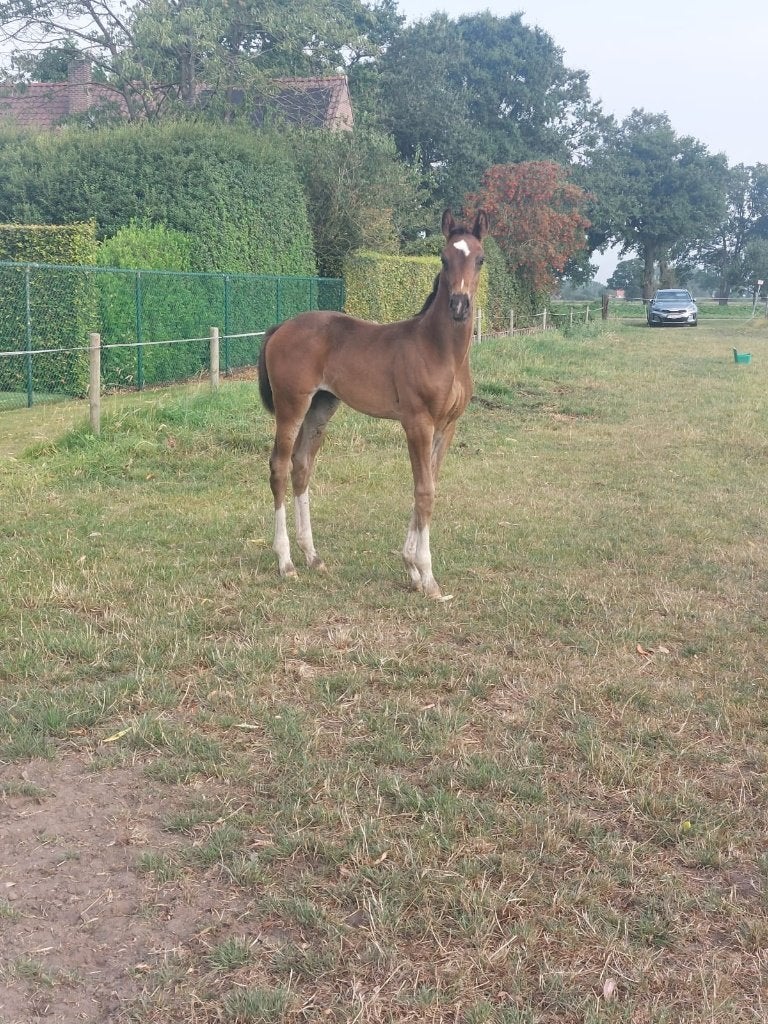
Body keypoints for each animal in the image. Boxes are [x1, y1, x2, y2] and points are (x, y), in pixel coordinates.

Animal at [257, 208, 489, 600]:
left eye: (481, 259)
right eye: (443, 259)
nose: (459, 306)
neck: (440, 350)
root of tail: (280, 328)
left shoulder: (447, 426)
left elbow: (428, 485)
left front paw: (412, 569)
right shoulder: (417, 422)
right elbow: (424, 491)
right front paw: (427, 577)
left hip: (322, 406)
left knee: (302, 466)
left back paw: (313, 556)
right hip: (292, 405)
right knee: (279, 466)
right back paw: (286, 562)